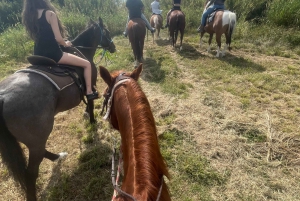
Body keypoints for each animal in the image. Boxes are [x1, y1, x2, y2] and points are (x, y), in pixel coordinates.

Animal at [0, 17, 115, 201]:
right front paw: (92, 121)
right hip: (38, 138)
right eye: (108, 32)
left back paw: (57, 157)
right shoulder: (91, 85)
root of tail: (3, 96)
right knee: (31, 173)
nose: (113, 47)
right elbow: (90, 104)